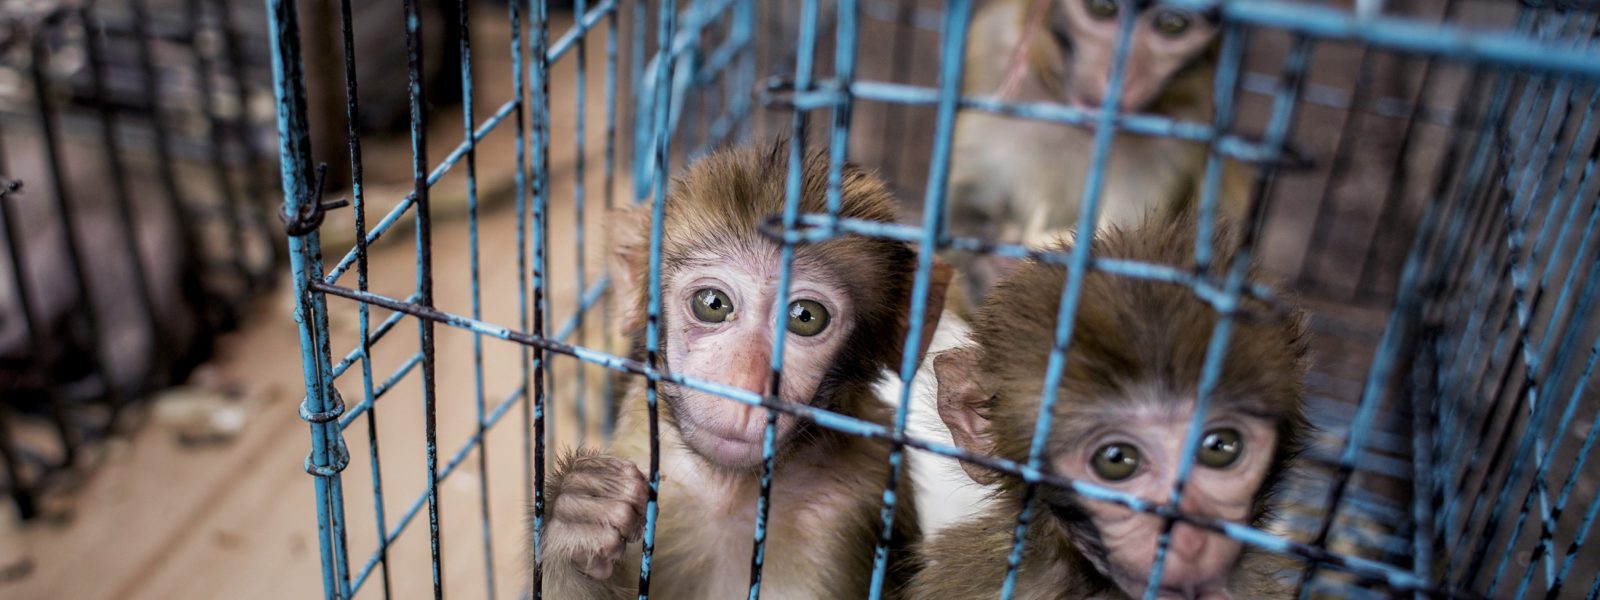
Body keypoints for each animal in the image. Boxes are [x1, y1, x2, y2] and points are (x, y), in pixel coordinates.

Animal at [531, 142, 947, 600]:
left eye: (805, 316)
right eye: (713, 303)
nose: (744, 388)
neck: (733, 493)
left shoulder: (857, 501)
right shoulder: (643, 443)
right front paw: (577, 515)